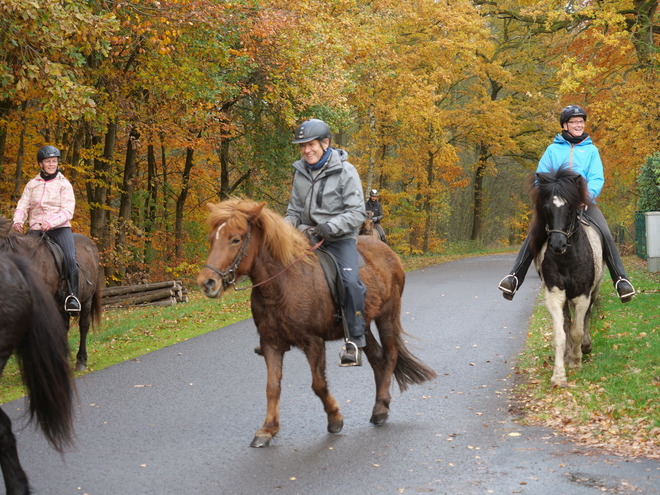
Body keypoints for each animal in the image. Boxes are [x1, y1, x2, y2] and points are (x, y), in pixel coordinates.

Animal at [193, 199, 436, 450]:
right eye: (212, 238)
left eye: (235, 239)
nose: (207, 282)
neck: (283, 283)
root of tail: (389, 254)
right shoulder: (271, 343)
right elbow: (272, 387)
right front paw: (268, 430)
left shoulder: (313, 342)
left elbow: (318, 385)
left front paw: (335, 418)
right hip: (363, 326)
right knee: (377, 358)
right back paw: (381, 406)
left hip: (387, 315)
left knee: (390, 356)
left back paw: (379, 410)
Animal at [528, 169, 604, 390]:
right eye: (546, 207)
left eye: (570, 206)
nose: (557, 244)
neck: (568, 258)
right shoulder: (554, 294)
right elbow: (560, 334)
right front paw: (559, 375)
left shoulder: (583, 295)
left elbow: (578, 329)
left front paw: (577, 363)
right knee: (567, 322)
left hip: (594, 292)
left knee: (585, 319)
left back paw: (584, 347)